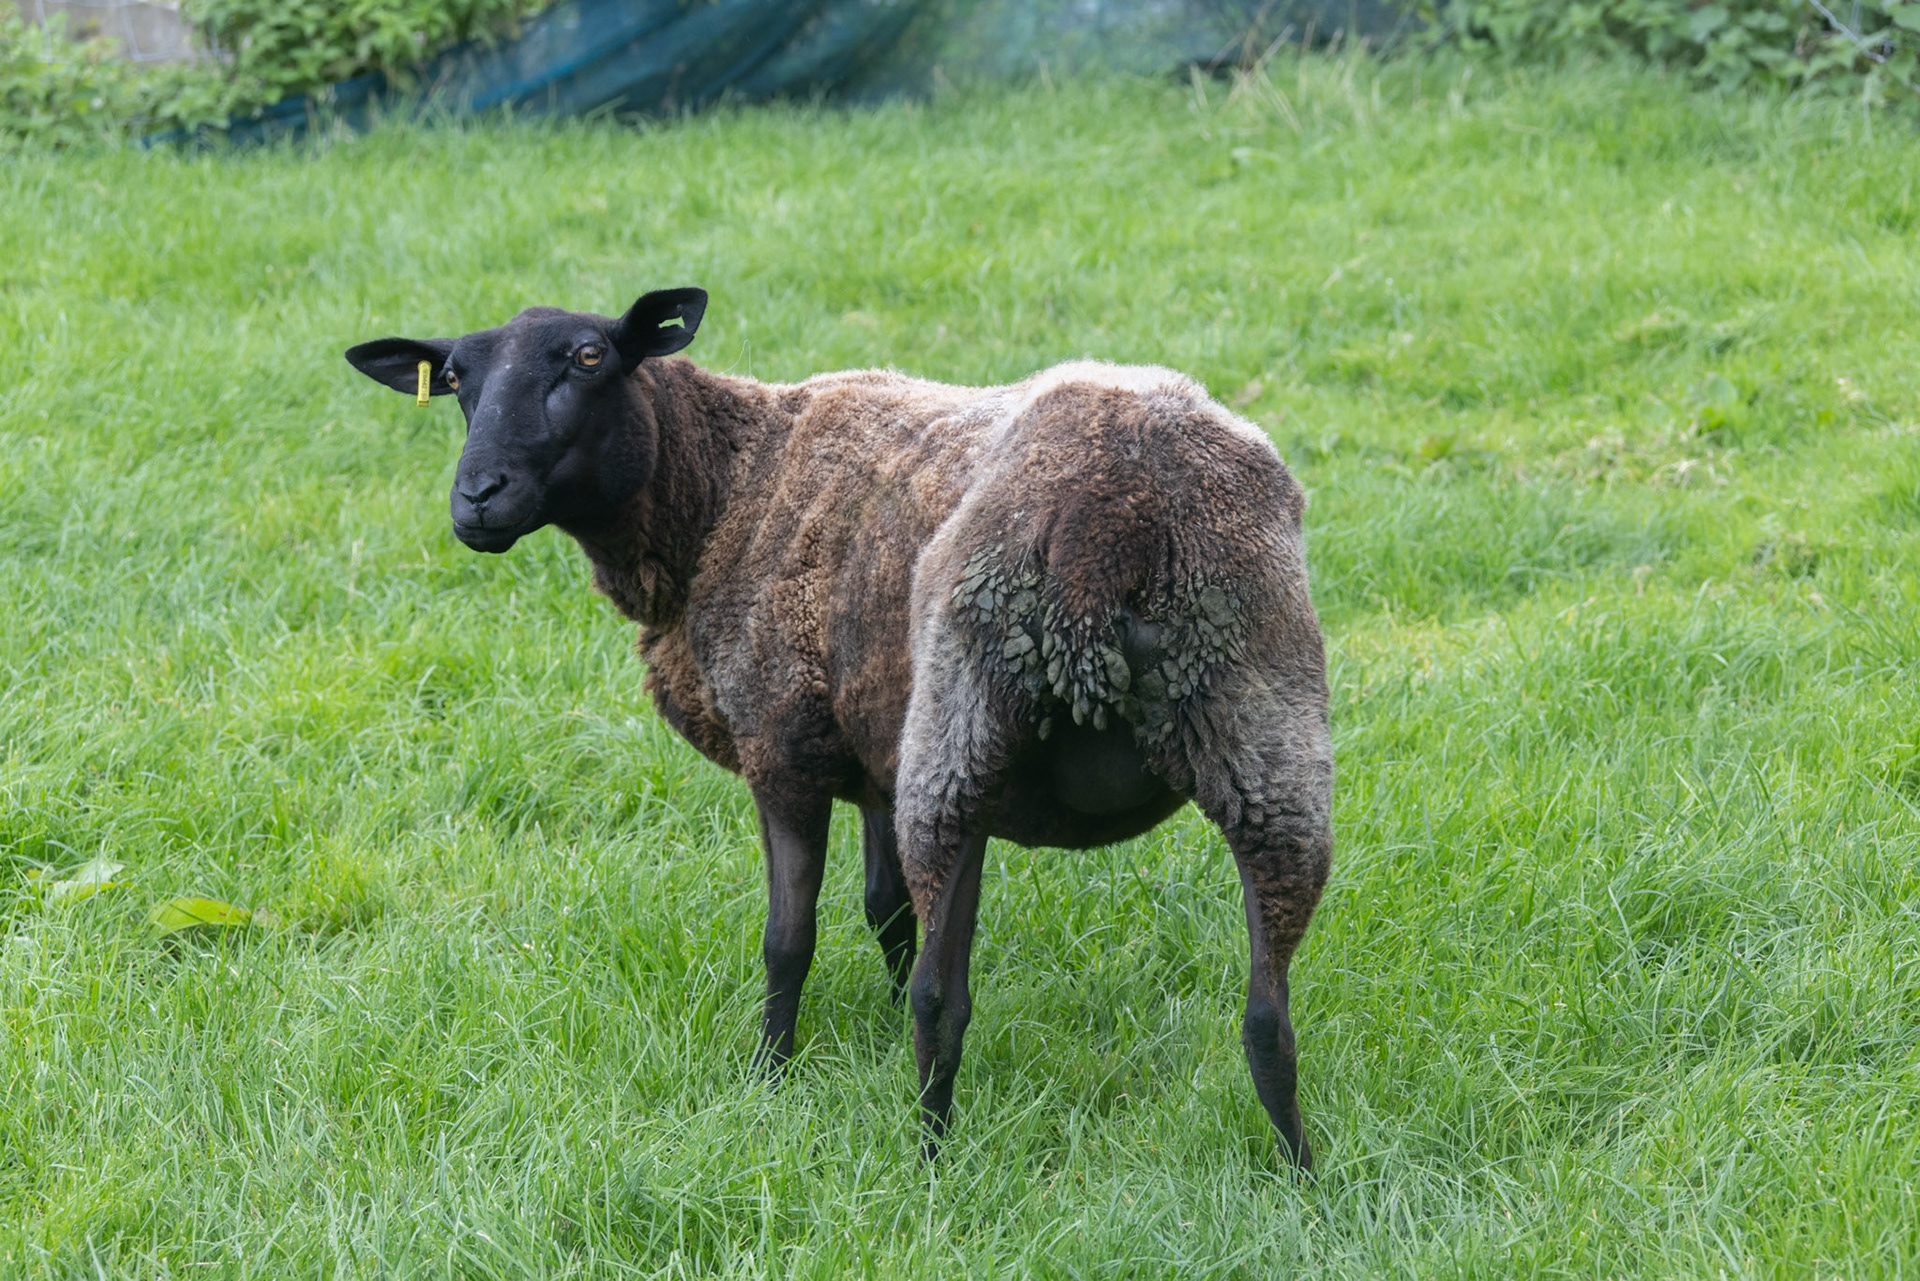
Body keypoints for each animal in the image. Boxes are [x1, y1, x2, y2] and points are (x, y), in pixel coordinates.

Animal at [345, 287, 1334, 1167]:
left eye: (589, 358)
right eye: (457, 379)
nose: (477, 498)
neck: (724, 487)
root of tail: (1110, 523)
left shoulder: (784, 747)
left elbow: (791, 940)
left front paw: (768, 1080)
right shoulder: (873, 756)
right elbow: (884, 910)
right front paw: (866, 1027)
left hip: (960, 740)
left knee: (946, 996)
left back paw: (930, 1162)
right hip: (1264, 738)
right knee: (1267, 1012)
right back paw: (1297, 1177)